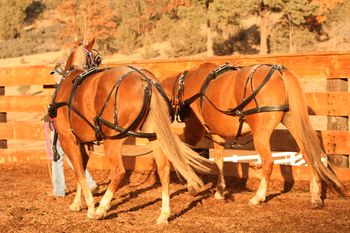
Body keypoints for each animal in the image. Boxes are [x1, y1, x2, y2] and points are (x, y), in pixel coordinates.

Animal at [47, 38, 211, 224]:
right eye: (97, 57)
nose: (56, 68)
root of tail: (147, 82)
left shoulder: (68, 139)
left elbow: (79, 172)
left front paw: (90, 207)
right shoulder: (85, 143)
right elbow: (80, 171)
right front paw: (77, 203)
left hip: (112, 140)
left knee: (119, 172)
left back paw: (101, 208)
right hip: (155, 137)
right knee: (163, 169)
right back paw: (164, 214)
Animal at [162, 61, 344, 208]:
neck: (184, 86)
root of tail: (279, 72)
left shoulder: (194, 130)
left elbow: (183, 151)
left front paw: (191, 185)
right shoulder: (217, 134)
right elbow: (219, 161)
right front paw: (220, 191)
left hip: (261, 135)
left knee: (268, 162)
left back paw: (258, 197)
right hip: (293, 123)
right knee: (307, 153)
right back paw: (315, 197)